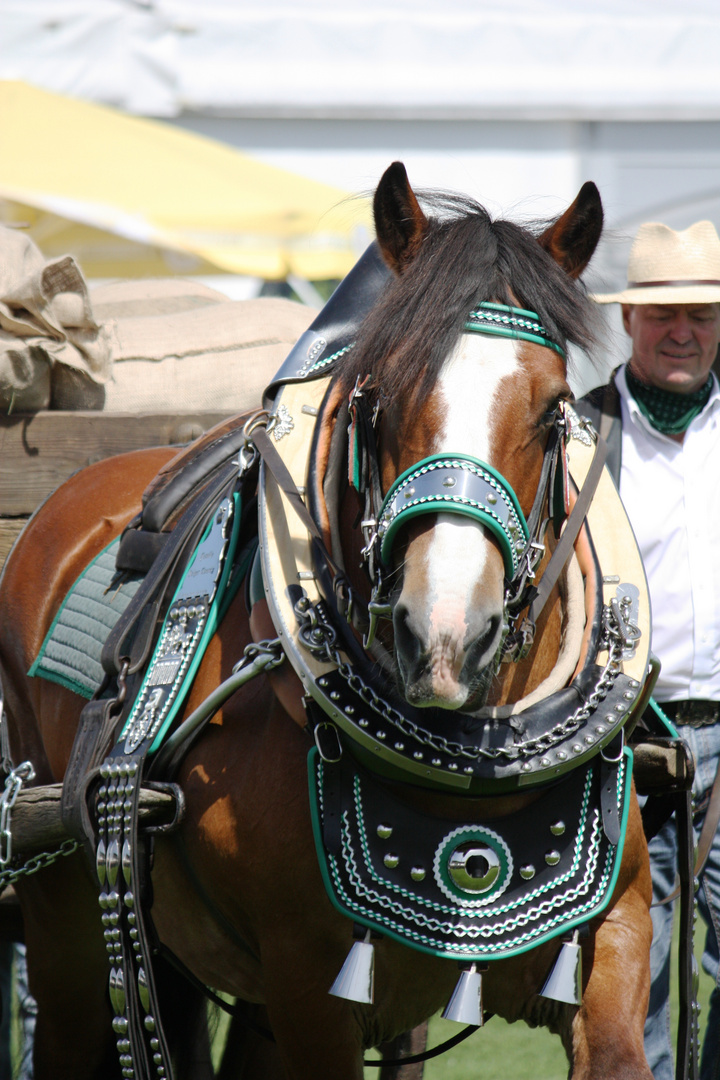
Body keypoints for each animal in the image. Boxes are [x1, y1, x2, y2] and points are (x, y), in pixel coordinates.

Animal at [0, 162, 651, 1080]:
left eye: (555, 406)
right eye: (376, 398)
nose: (446, 637)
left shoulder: (617, 935)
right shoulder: (306, 981)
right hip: (61, 920)